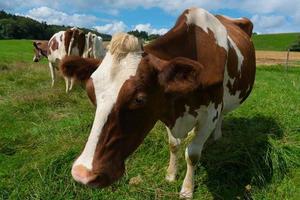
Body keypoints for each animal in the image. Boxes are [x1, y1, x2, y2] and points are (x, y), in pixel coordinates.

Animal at [71, 7, 255, 198]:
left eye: (139, 99)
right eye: (90, 93)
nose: (82, 174)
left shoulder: (210, 114)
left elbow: (193, 154)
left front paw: (187, 189)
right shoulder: (166, 109)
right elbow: (173, 145)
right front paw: (171, 174)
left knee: (222, 115)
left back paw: (217, 135)